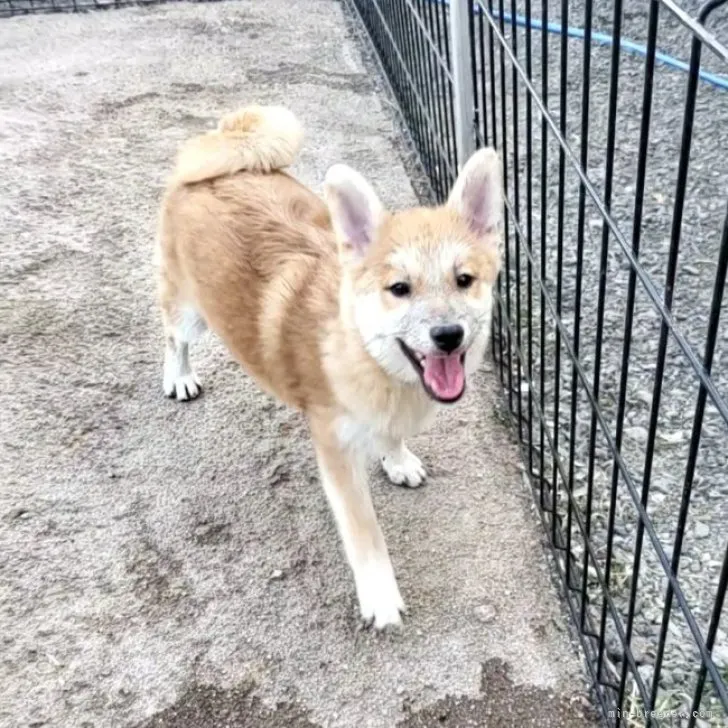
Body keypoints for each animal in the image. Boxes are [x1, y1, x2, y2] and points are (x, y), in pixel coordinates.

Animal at [156, 104, 504, 624]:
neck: (364, 354)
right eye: (399, 289)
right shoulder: (336, 453)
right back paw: (178, 376)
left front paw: (397, 459)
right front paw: (380, 596)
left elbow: (392, 435)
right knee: (173, 337)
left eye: (464, 280)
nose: (448, 335)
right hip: (189, 312)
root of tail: (219, 152)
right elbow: (365, 535)